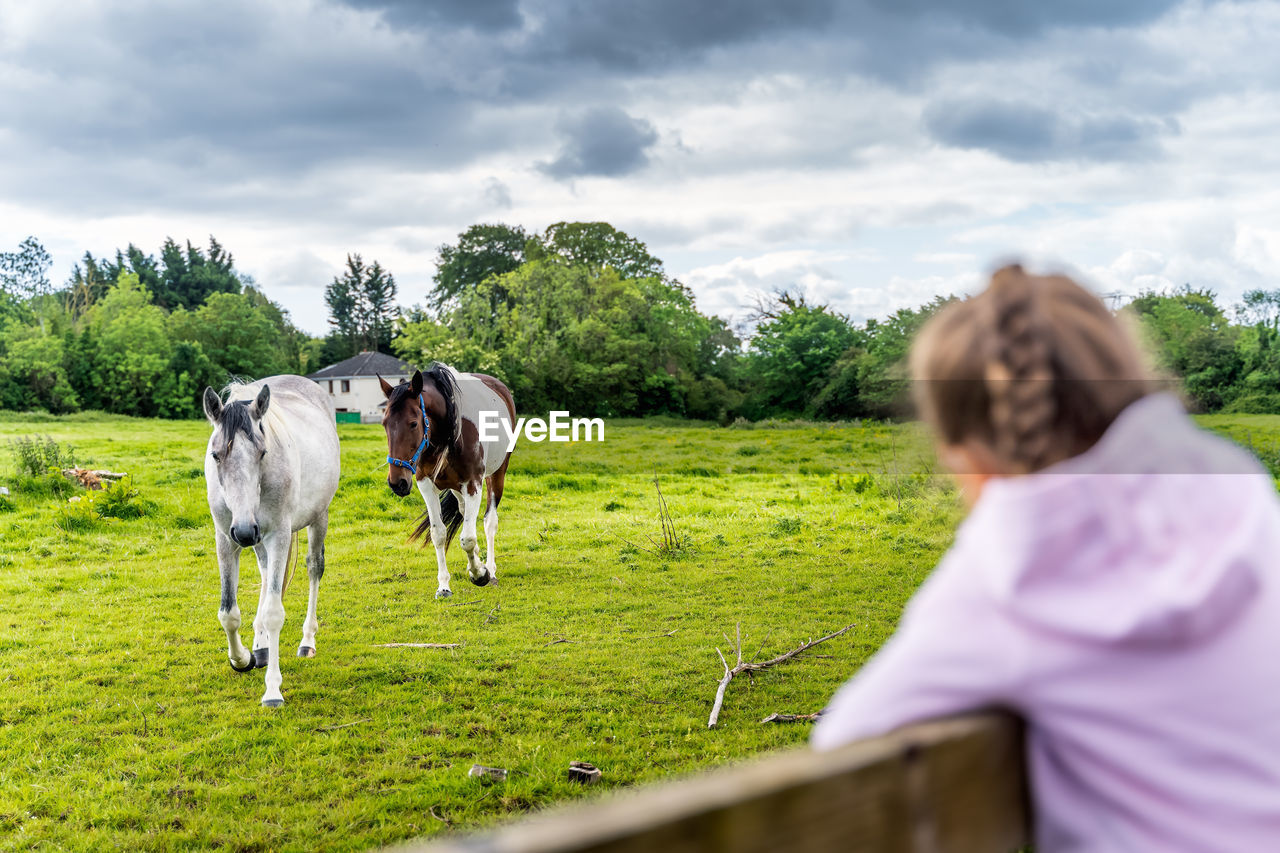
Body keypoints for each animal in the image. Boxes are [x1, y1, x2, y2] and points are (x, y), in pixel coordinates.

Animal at [202, 371, 340, 701]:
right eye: (216, 455)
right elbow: (228, 612)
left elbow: (275, 612)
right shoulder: (226, 539)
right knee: (266, 577)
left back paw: (307, 642)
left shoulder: (278, 535)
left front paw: (273, 691)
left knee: (314, 568)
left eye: (262, 453)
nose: (244, 530)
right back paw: (261, 647)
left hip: (317, 518)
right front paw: (241, 659)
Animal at [378, 361, 514, 594]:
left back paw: (490, 569)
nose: (397, 483)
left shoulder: (473, 483)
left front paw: (480, 574)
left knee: (489, 522)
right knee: (465, 514)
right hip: (456, 488)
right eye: (384, 423)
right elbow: (439, 534)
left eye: (413, 423)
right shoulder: (425, 484)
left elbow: (467, 538)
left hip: (496, 474)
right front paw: (444, 585)